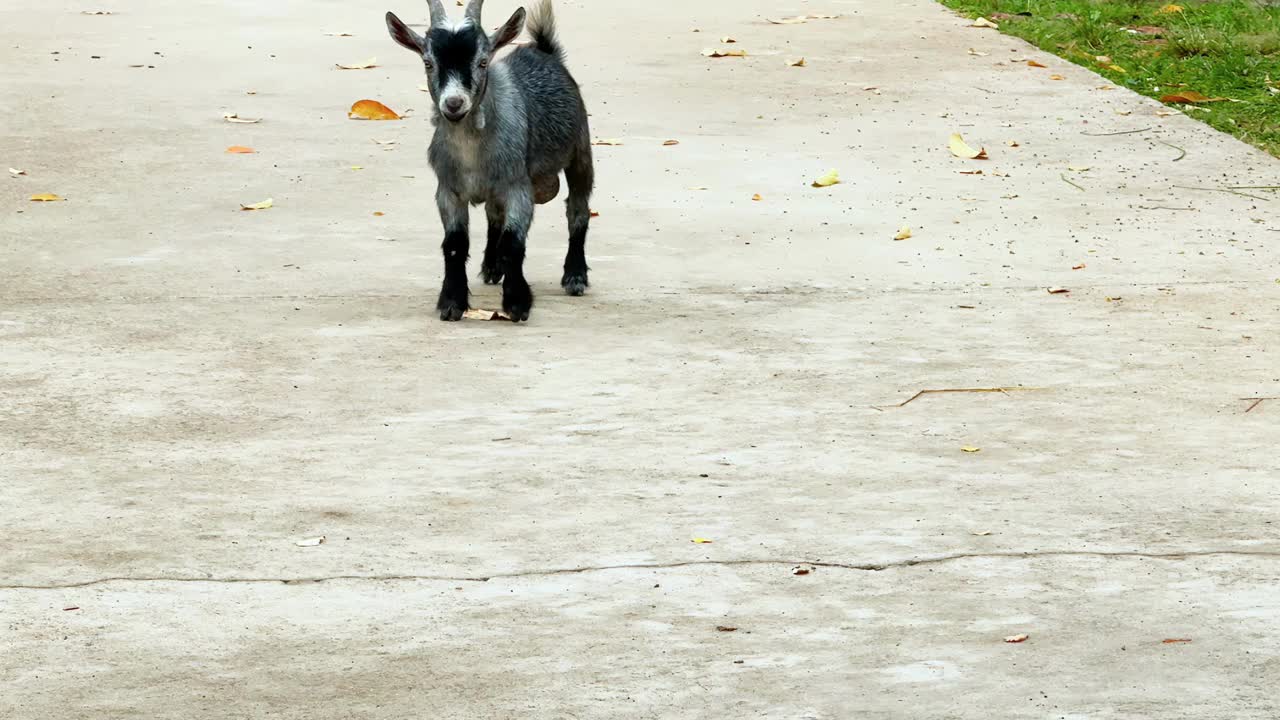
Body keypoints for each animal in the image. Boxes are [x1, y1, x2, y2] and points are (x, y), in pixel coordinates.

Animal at [384, 0, 593, 319]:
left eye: (483, 62)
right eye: (428, 63)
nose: (454, 103)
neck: (472, 155)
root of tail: (545, 51)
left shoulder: (518, 187)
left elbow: (513, 243)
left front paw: (517, 303)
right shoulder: (448, 191)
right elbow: (455, 244)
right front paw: (452, 303)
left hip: (581, 150)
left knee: (578, 210)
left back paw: (575, 276)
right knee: (494, 215)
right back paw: (492, 267)